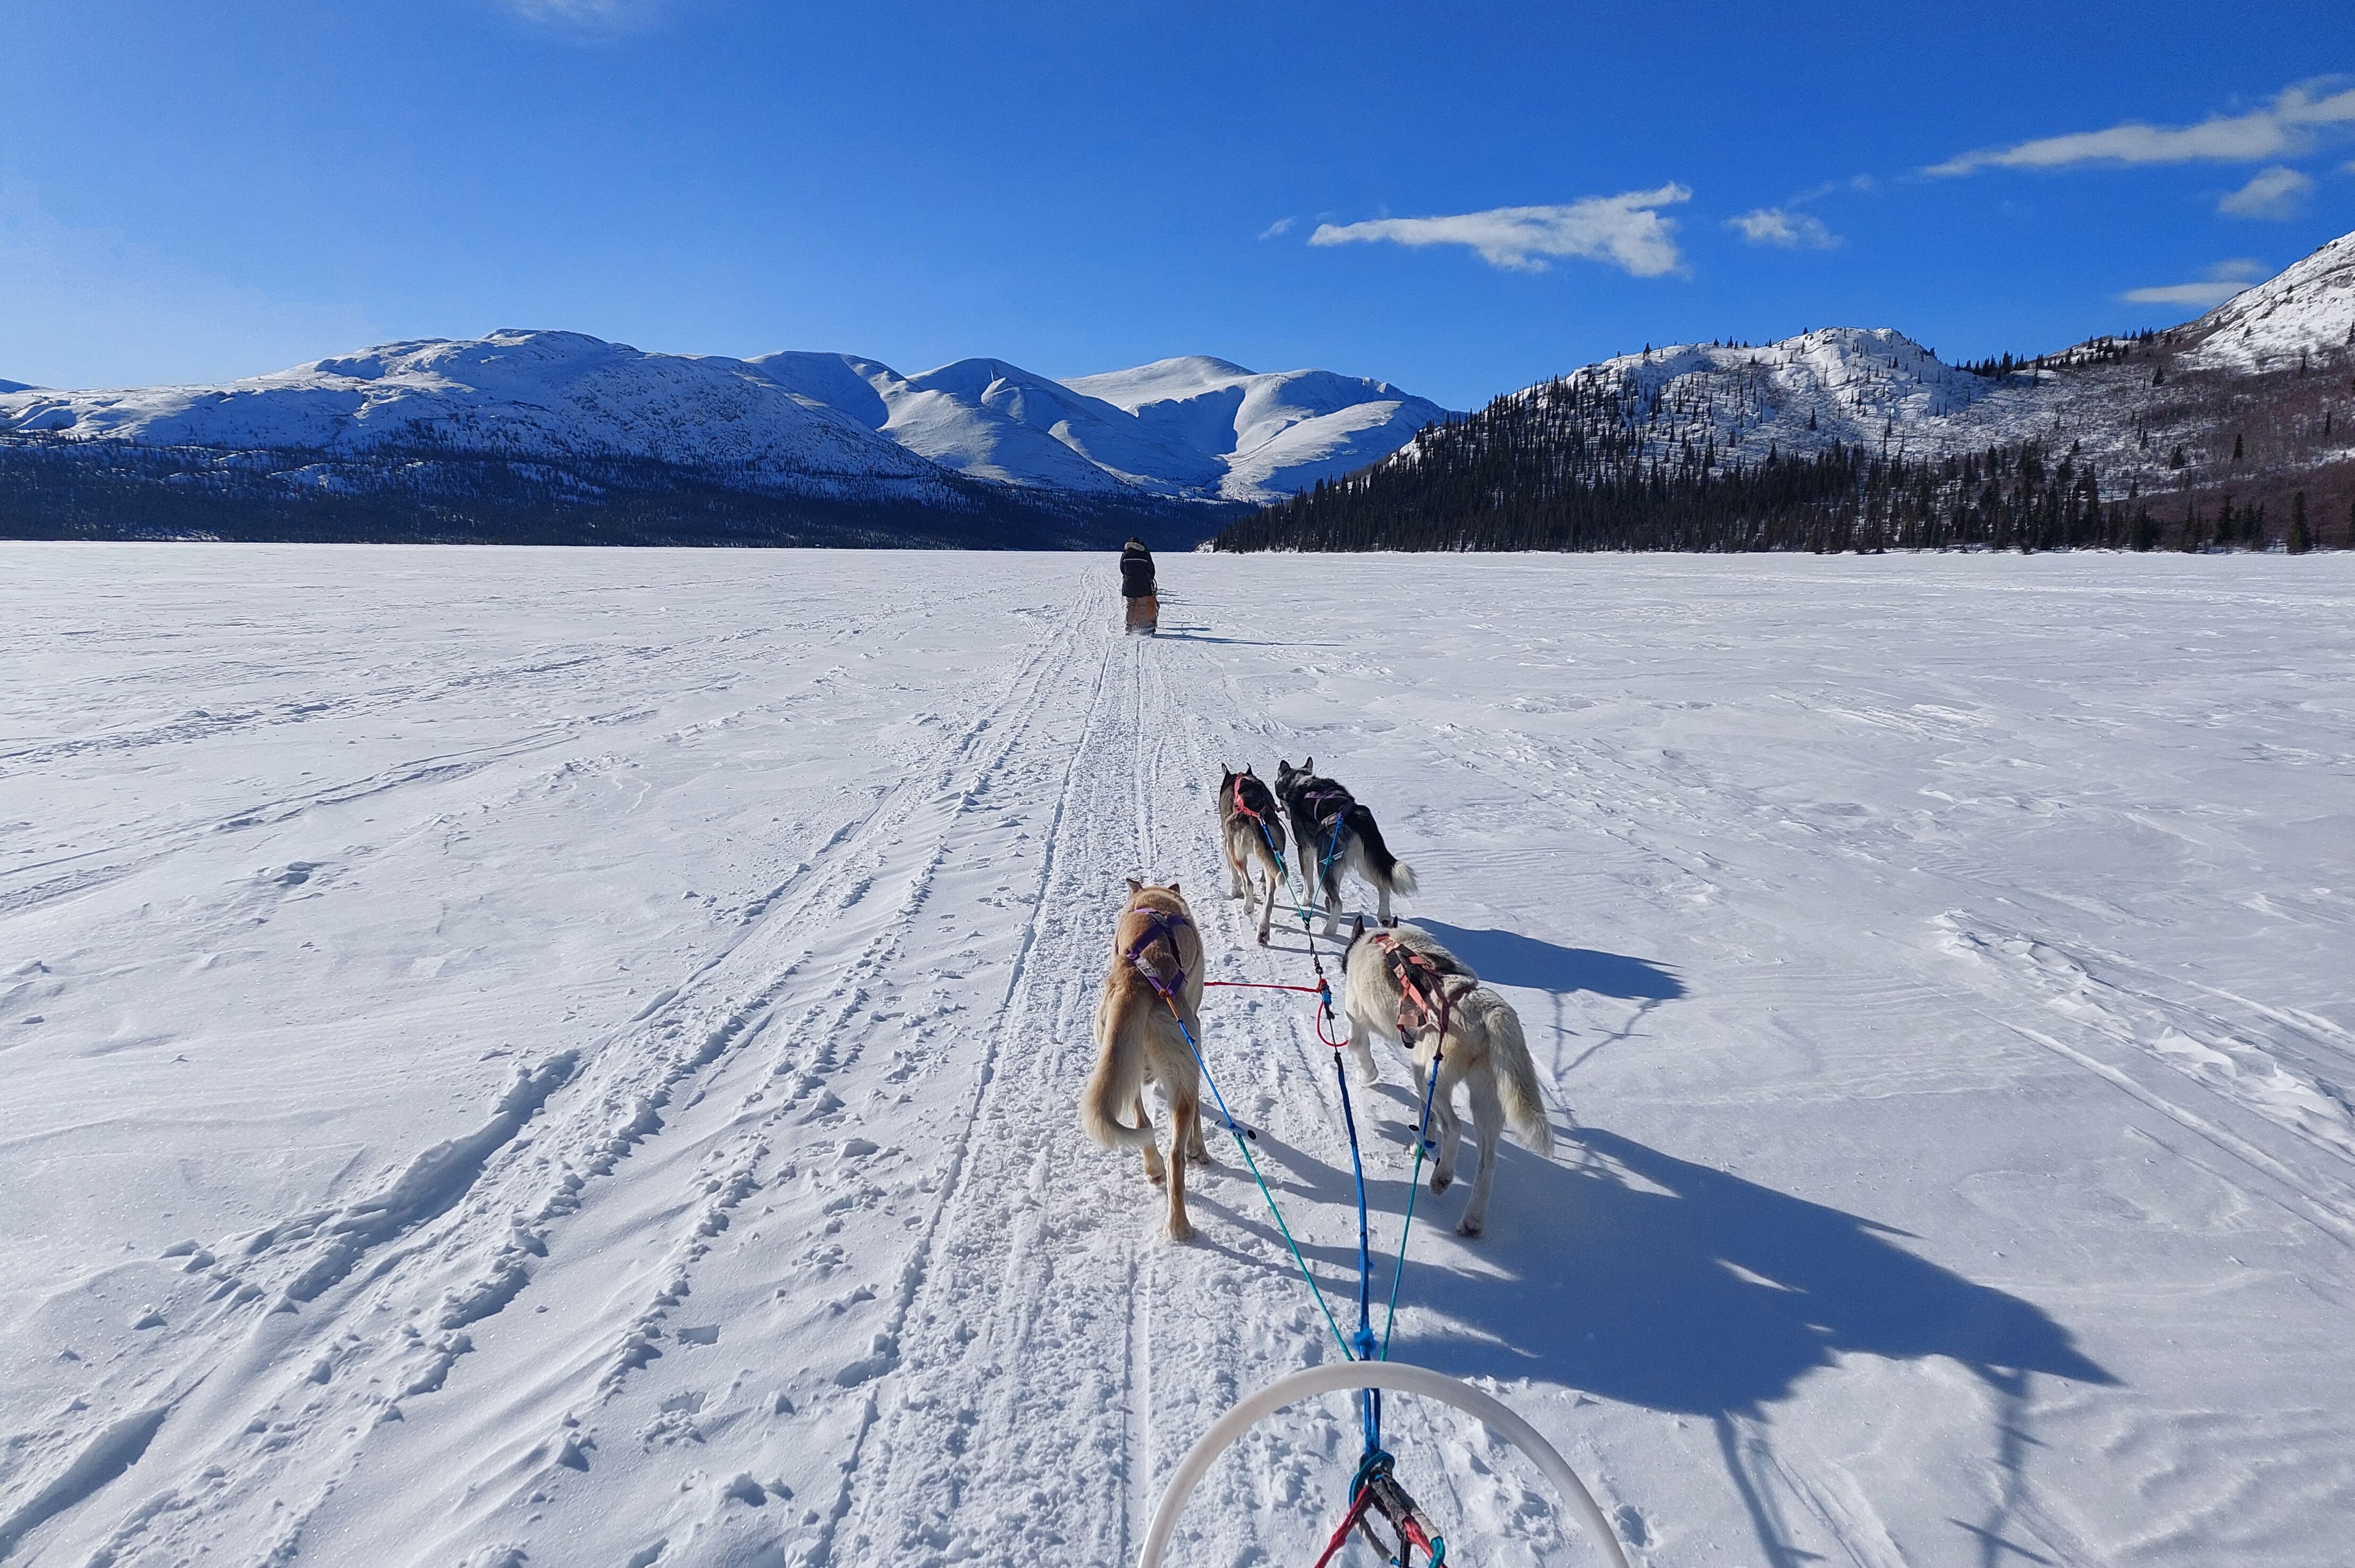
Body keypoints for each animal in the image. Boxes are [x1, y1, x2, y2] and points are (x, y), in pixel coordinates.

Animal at [1078, 880, 1205, 1234]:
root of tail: (1135, 980)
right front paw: (1199, 1149)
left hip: (1124, 1061)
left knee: (1142, 1121)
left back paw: (1153, 1169)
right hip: (1186, 1062)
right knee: (1177, 1153)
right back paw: (1179, 1226)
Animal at [1215, 758, 1290, 941]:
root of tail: (1255, 816)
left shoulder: (1227, 846)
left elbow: (1234, 876)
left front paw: (1234, 891)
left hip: (1237, 854)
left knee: (1247, 883)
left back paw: (1248, 907)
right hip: (1275, 853)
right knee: (1269, 896)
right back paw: (1263, 930)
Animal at [1271, 753, 1413, 928]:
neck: (1298, 782)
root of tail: (1356, 815)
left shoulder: (1305, 849)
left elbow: (1308, 882)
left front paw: (1305, 901)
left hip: (1325, 863)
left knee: (1338, 903)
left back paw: (1328, 930)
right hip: (1363, 864)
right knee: (1383, 886)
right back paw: (1384, 917)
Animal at [1337, 918, 1554, 1234]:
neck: (1377, 938)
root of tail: (1487, 1008)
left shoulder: (1357, 1020)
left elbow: (1363, 1054)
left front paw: (1365, 1077)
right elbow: (1425, 1117)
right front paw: (1421, 1143)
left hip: (1429, 1075)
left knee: (1454, 1126)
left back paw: (1443, 1176)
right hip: (1483, 1098)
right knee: (1487, 1161)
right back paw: (1472, 1220)